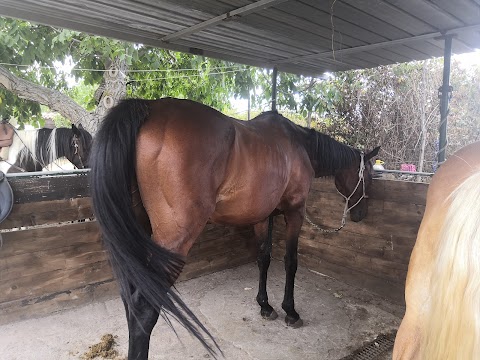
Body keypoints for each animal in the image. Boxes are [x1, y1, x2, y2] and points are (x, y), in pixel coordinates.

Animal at [90, 97, 380, 358]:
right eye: (368, 174)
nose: (361, 214)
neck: (299, 146)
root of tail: (150, 107)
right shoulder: (294, 212)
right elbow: (290, 261)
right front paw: (290, 310)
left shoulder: (263, 217)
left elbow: (264, 258)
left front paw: (265, 306)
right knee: (143, 308)